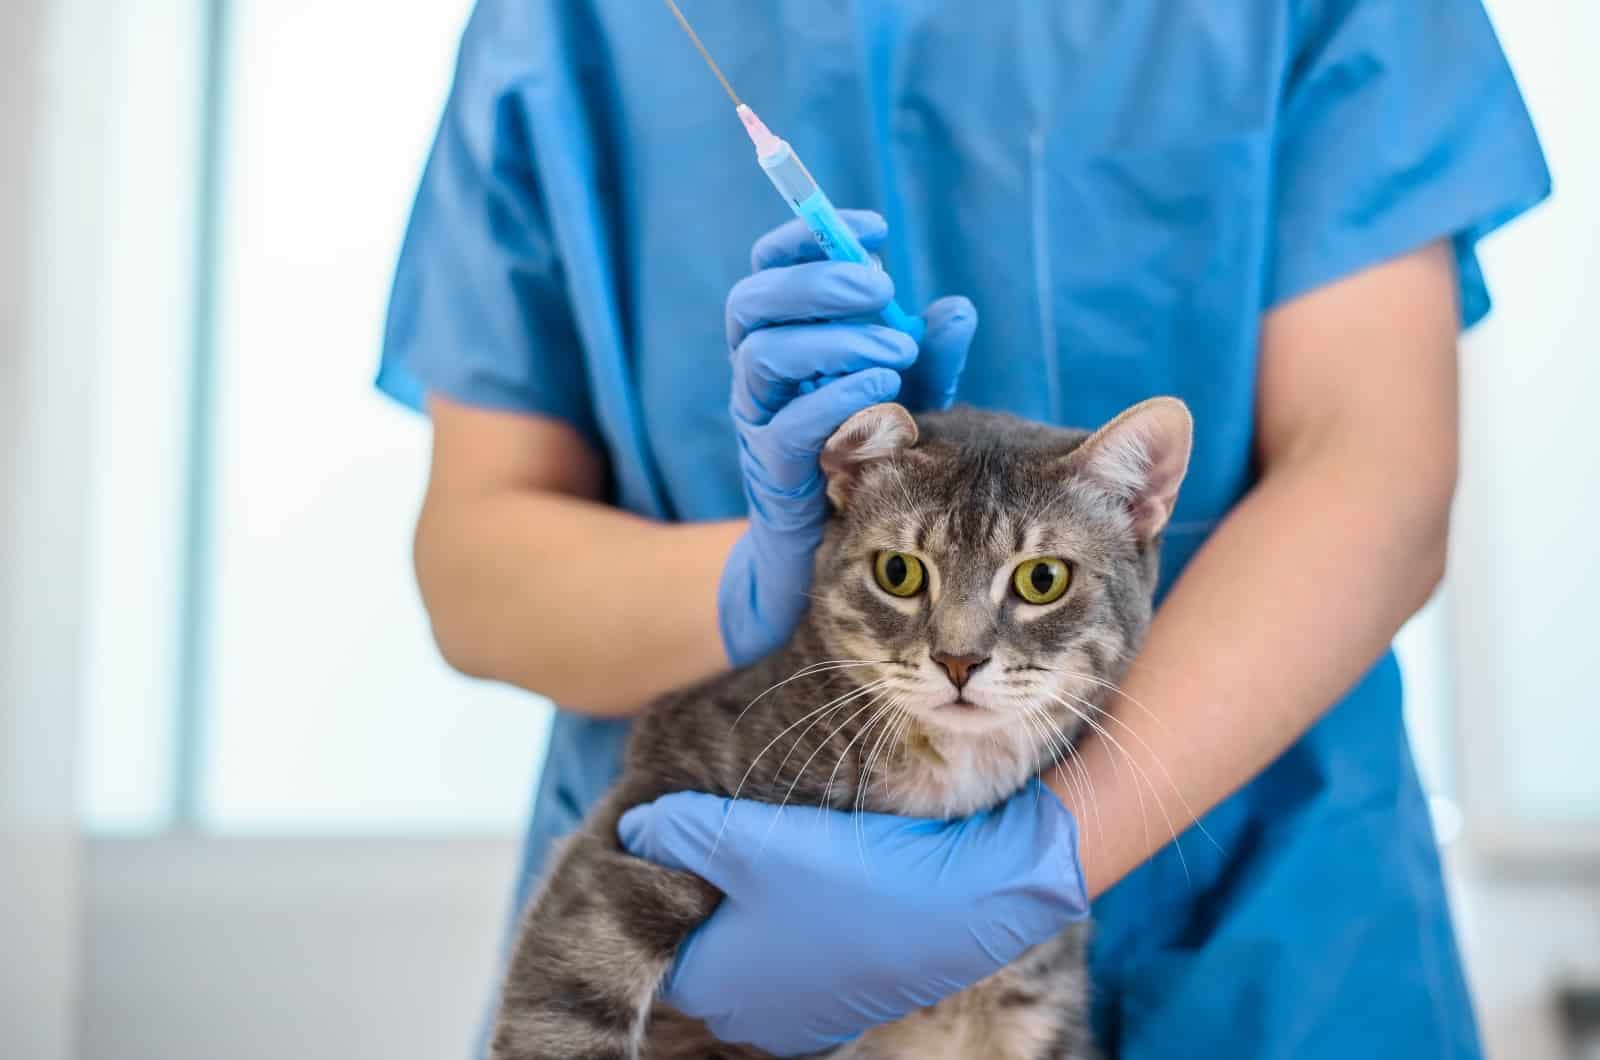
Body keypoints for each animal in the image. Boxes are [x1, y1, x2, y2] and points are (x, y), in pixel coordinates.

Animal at [492, 398, 1196, 1060]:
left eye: (1043, 578)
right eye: (898, 572)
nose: (958, 660)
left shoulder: (1036, 1008)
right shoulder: (638, 822)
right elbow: (563, 1014)